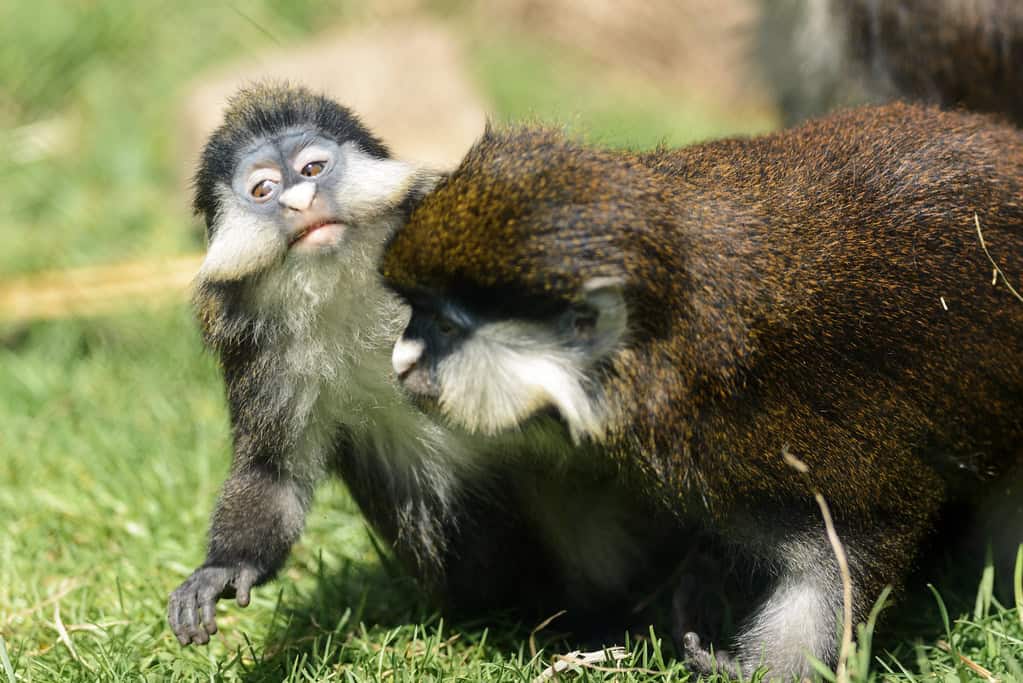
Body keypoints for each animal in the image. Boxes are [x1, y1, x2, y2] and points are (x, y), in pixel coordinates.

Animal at [167, 83, 689, 648]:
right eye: (263, 189)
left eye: (311, 169)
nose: (300, 201)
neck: (345, 290)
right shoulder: (260, 346)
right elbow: (273, 474)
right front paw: (223, 568)